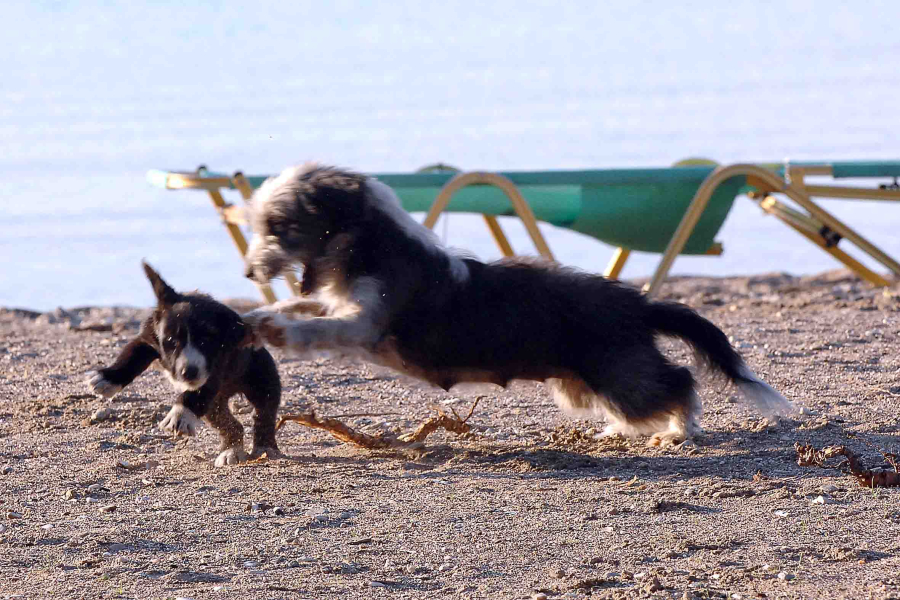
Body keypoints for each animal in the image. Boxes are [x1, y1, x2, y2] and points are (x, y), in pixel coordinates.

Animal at [86, 262, 282, 464]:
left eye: (206, 341)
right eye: (171, 341)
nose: (189, 373)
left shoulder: (214, 369)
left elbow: (194, 394)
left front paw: (180, 415)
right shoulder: (147, 339)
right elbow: (131, 356)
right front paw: (107, 379)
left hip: (262, 380)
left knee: (264, 413)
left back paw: (264, 448)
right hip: (215, 406)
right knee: (231, 425)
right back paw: (231, 451)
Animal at [241, 163, 796, 446]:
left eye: (280, 227)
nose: (247, 273)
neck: (367, 242)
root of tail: (636, 303)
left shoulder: (365, 322)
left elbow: (318, 329)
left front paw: (274, 330)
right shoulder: (336, 304)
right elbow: (302, 309)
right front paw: (253, 318)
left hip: (621, 378)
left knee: (679, 382)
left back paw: (678, 429)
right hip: (582, 386)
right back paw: (625, 428)